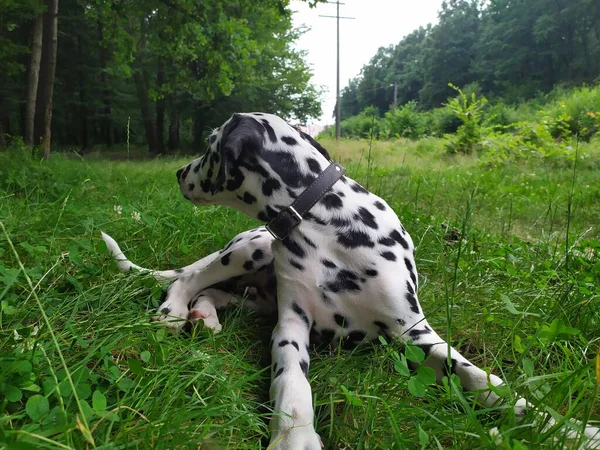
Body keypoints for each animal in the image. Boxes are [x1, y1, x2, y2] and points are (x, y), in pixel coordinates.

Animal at [105, 111, 596, 446]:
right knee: (190, 277)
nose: (178, 172)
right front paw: (295, 437)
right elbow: (292, 382)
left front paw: (564, 427)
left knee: (211, 291)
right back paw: (174, 309)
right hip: (250, 249)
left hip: (253, 291)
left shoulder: (415, 334)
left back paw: (203, 316)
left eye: (210, 146)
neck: (324, 221)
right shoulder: (291, 326)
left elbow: (483, 380)